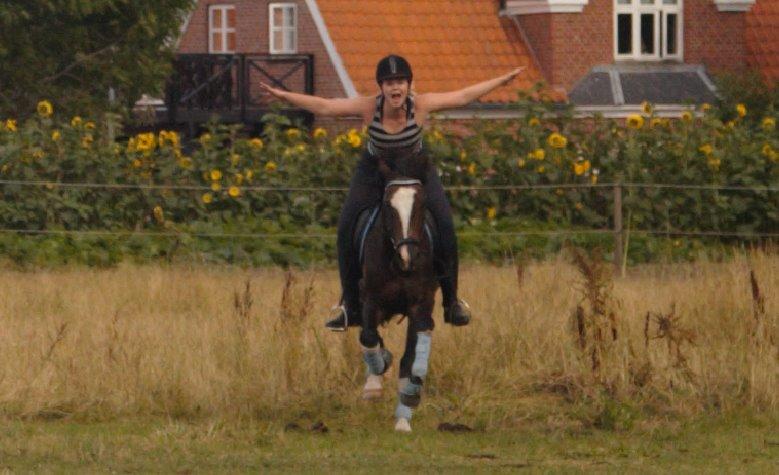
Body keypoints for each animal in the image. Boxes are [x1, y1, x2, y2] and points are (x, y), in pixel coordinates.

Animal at [356, 155, 439, 433]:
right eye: (387, 205)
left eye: (422, 203)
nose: (408, 257)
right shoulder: (370, 301)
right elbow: (369, 337)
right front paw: (375, 382)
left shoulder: (420, 307)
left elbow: (410, 358)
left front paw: (406, 409)